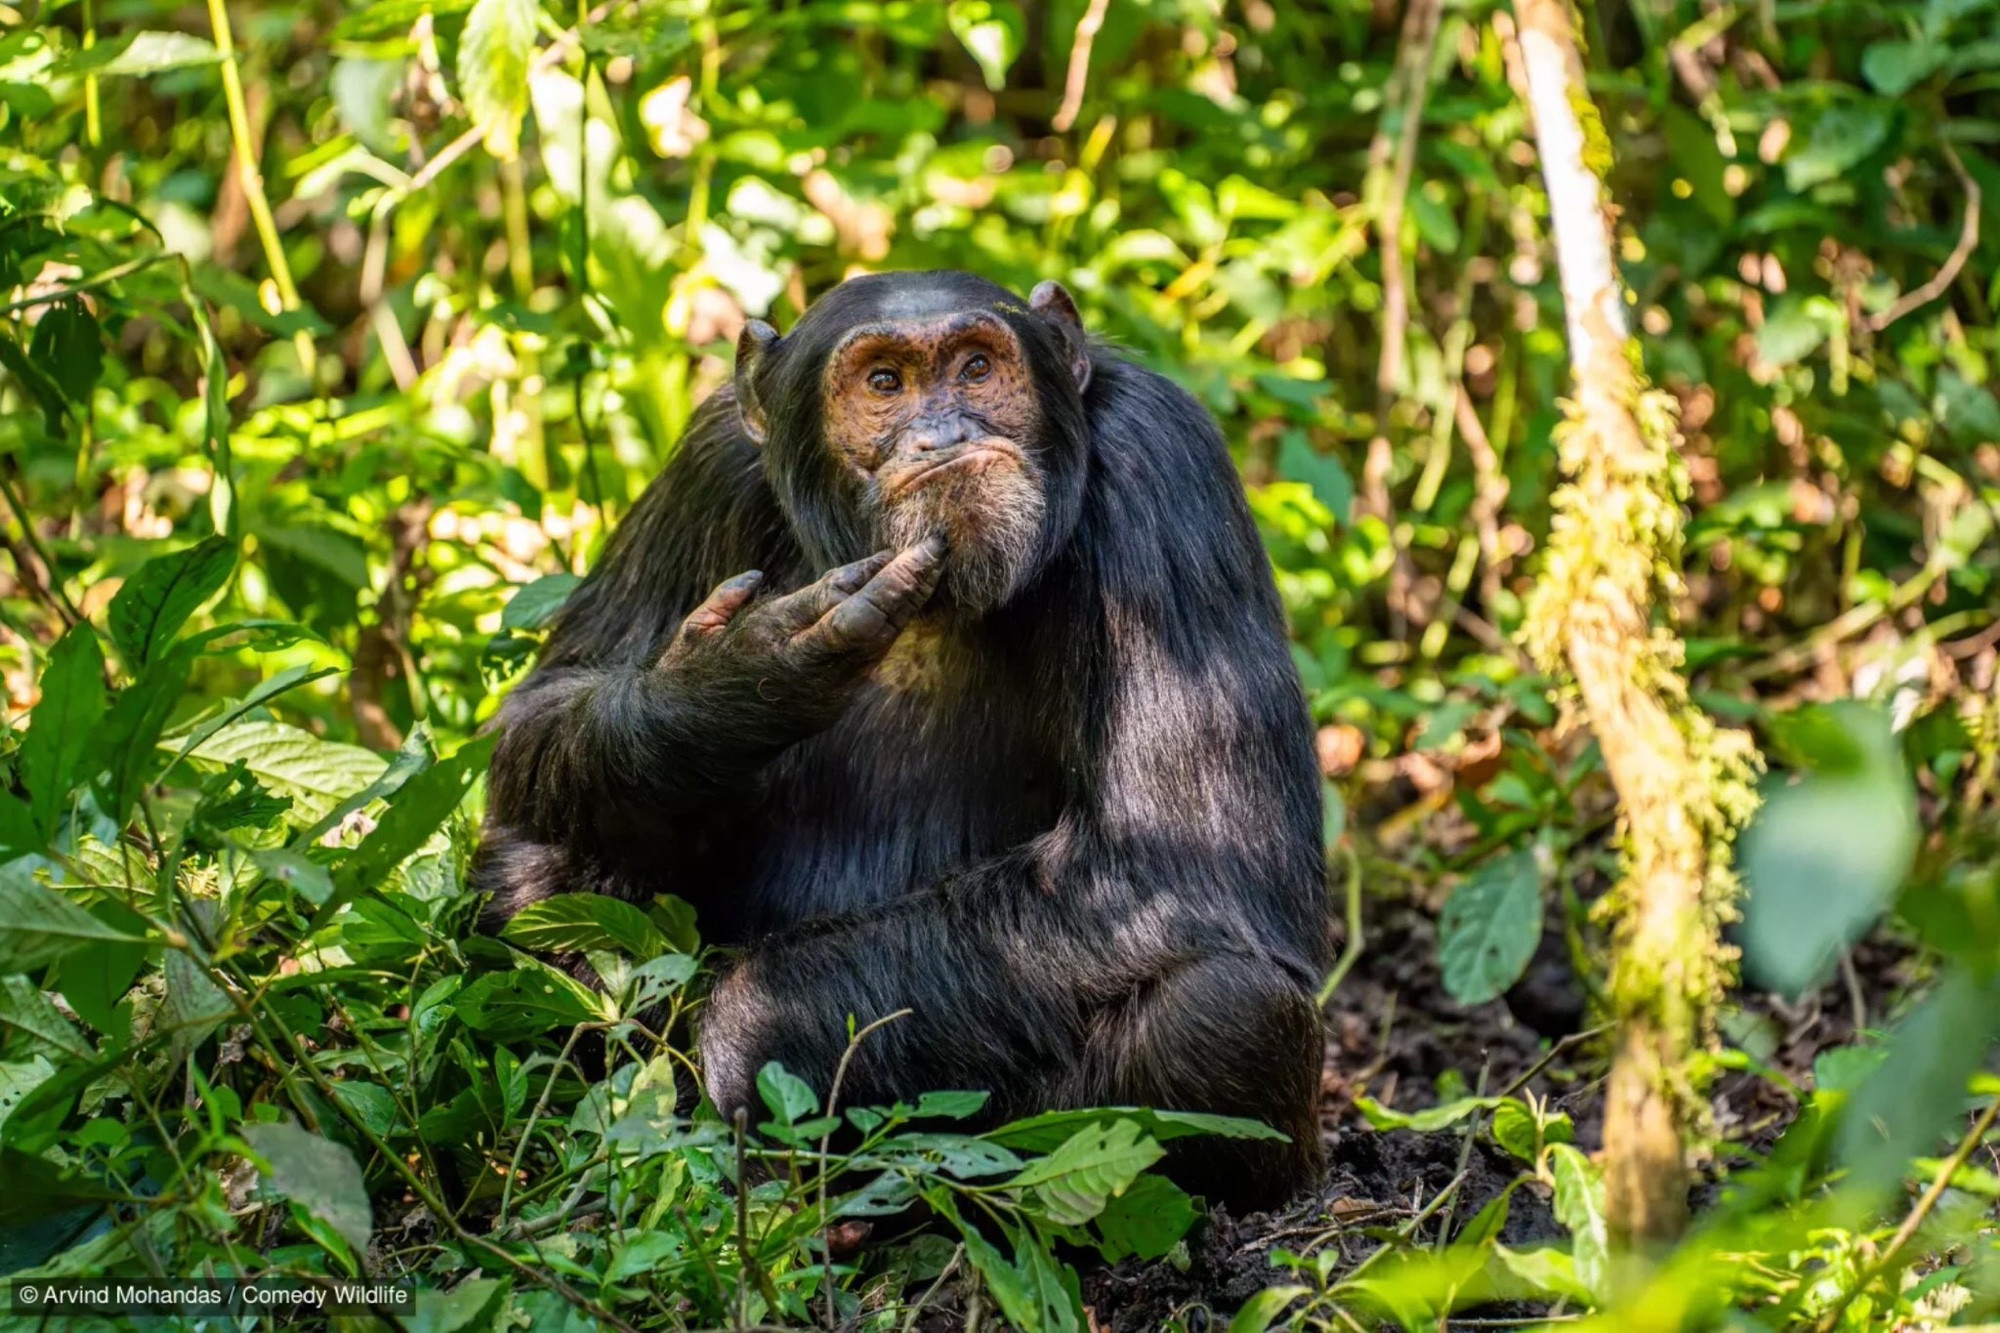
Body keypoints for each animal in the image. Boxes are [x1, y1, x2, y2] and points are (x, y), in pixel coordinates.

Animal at [472, 270, 1328, 1200]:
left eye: (977, 366)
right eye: (884, 382)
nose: (944, 431)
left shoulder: (1162, 462)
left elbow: (1179, 855)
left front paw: (750, 1031)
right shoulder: (707, 464)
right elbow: (546, 700)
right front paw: (729, 684)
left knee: (1226, 1009)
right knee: (538, 864)